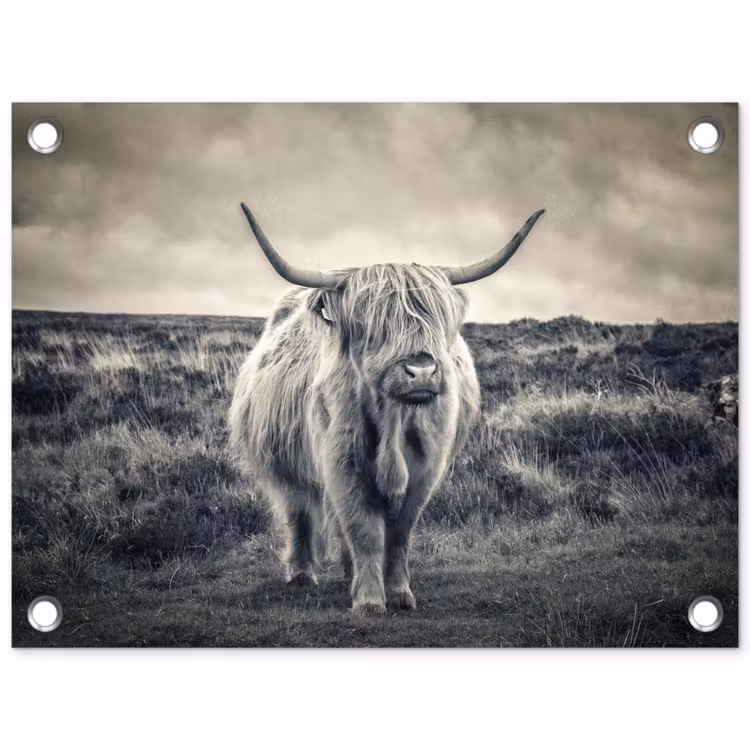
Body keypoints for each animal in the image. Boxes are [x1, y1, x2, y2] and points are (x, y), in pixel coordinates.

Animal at [229, 203, 544, 614]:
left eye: (435, 319)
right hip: (285, 463)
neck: (394, 421)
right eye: (373, 324)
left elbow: (398, 533)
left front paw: (397, 592)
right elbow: (363, 529)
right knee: (299, 511)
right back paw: (301, 573)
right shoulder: (342, 462)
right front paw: (368, 600)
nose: (421, 370)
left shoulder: (426, 469)